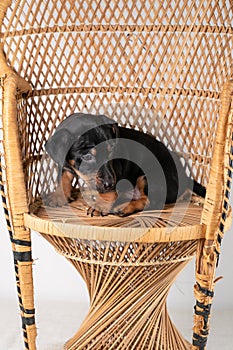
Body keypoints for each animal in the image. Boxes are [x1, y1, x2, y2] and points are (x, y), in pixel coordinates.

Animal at [44, 112, 205, 216]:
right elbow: (64, 176)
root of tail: (185, 178)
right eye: (87, 156)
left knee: (152, 201)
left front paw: (100, 205)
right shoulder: (64, 163)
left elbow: (108, 193)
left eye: (112, 151)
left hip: (150, 176)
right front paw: (59, 195)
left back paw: (124, 208)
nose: (110, 183)